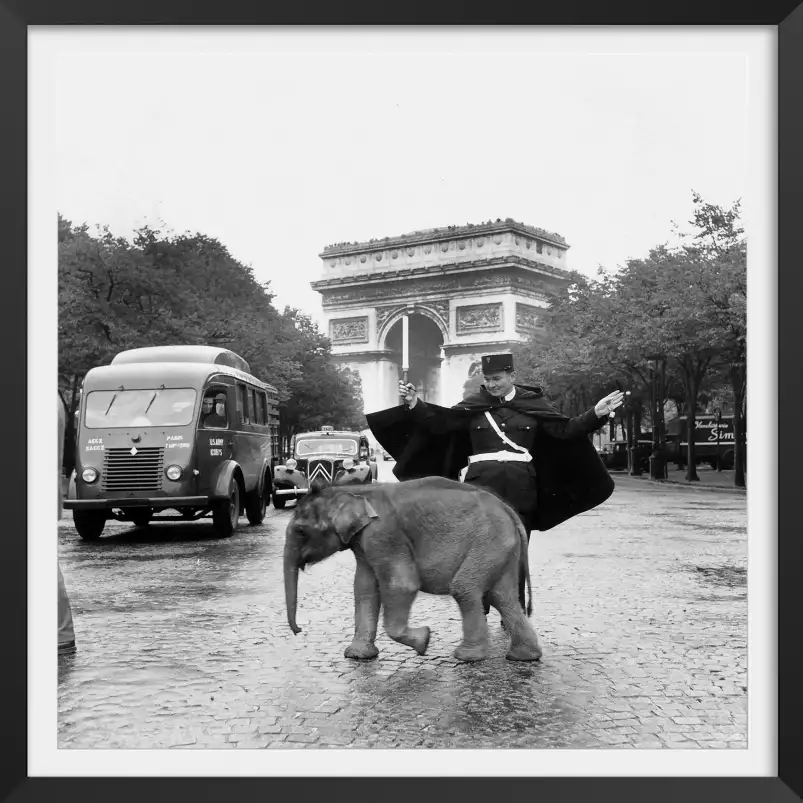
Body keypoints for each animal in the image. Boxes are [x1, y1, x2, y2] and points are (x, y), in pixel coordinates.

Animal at [282, 474, 540, 664]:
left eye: (301, 531)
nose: (299, 630)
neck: (356, 490)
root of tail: (508, 510)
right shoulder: (364, 544)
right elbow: (364, 588)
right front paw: (357, 656)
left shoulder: (384, 534)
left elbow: (401, 585)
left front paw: (424, 641)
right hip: (501, 550)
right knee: (502, 597)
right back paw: (524, 657)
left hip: (488, 542)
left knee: (465, 589)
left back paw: (467, 657)